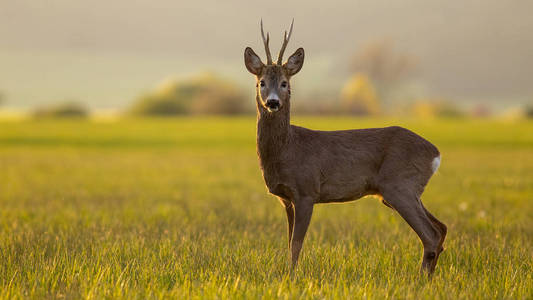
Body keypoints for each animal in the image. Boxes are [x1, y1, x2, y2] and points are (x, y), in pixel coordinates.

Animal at [243, 19, 446, 276]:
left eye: (284, 83)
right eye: (261, 83)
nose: (272, 102)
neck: (287, 150)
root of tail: (435, 153)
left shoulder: (307, 191)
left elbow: (296, 244)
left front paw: (292, 276)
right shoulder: (285, 198)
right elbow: (289, 241)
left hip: (399, 185)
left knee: (431, 235)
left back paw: (420, 279)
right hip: (405, 191)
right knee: (442, 228)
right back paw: (428, 277)